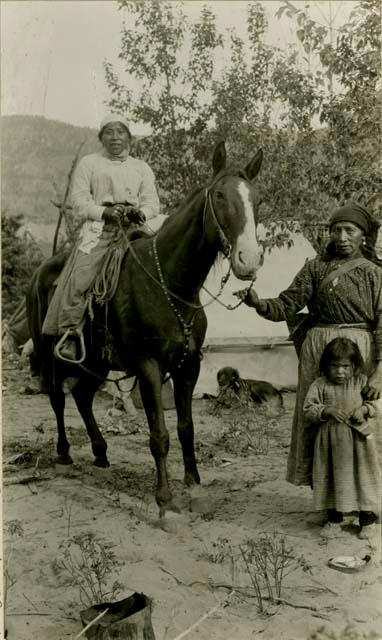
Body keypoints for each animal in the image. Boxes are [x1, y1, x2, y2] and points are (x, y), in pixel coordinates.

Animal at [26, 141, 264, 524]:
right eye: (219, 195)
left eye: (255, 198)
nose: (249, 259)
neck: (169, 282)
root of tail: (38, 274)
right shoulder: (149, 366)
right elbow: (160, 435)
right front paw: (165, 502)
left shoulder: (189, 366)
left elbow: (185, 428)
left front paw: (194, 488)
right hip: (52, 356)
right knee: (58, 398)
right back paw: (63, 454)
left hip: (97, 363)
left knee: (82, 396)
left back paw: (101, 452)